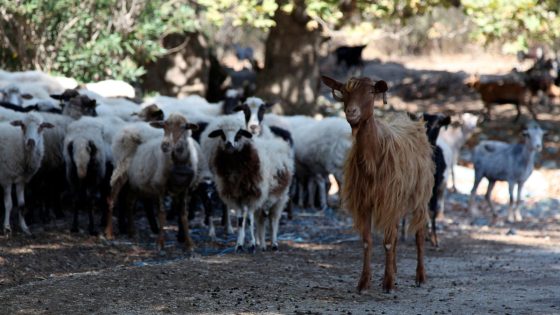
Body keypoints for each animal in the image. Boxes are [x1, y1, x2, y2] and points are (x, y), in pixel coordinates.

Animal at [320, 74, 434, 294]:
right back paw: (396, 270)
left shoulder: (388, 199)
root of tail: (410, 121)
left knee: (419, 233)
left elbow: (387, 242)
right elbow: (367, 241)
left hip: (419, 195)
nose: (351, 112)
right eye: (344, 92)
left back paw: (421, 277)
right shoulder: (364, 202)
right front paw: (364, 282)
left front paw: (388, 284)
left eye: (371, 92)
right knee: (397, 233)